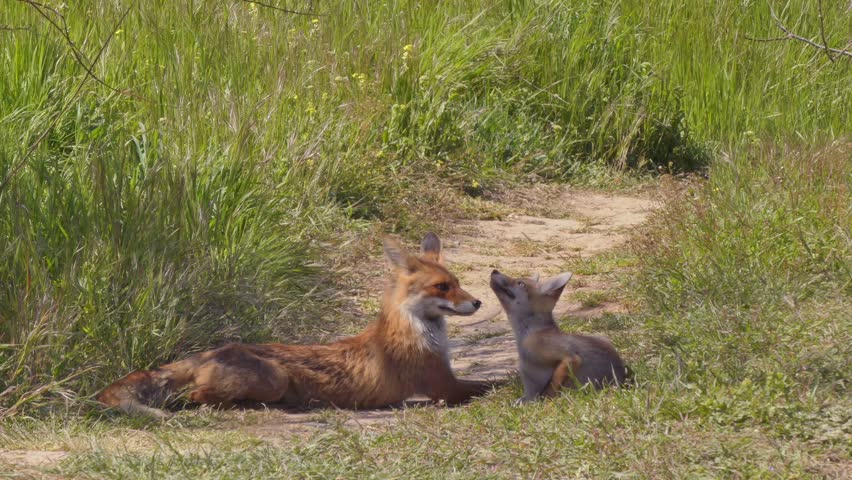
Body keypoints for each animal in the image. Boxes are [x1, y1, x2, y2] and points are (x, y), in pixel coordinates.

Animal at [97, 233, 495, 418]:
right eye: (442, 287)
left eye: (458, 282)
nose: (477, 302)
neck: (418, 332)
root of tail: (210, 352)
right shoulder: (444, 387)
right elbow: (492, 384)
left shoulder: (446, 381)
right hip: (274, 378)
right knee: (193, 397)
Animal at [489, 269, 630, 403]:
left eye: (520, 283)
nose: (494, 270)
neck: (527, 335)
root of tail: (624, 379)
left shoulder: (568, 357)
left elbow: (550, 387)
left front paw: (546, 401)